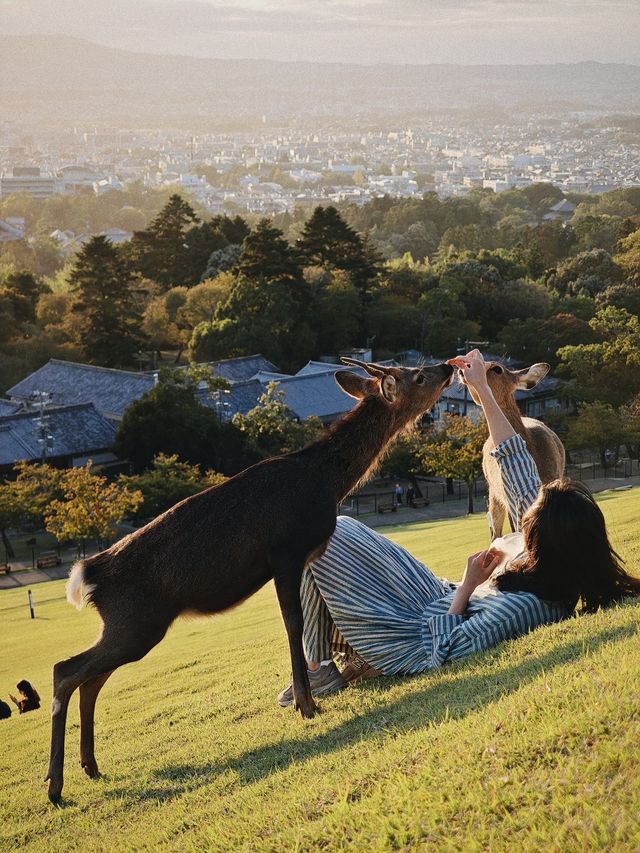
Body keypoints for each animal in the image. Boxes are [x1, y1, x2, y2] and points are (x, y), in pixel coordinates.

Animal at [46, 356, 456, 804]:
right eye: (418, 376)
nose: (448, 367)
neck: (325, 483)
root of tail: (88, 574)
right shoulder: (286, 551)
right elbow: (293, 624)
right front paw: (307, 706)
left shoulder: (299, 558)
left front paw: (305, 700)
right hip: (136, 622)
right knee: (66, 670)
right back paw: (55, 785)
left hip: (129, 626)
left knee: (90, 680)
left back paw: (90, 766)